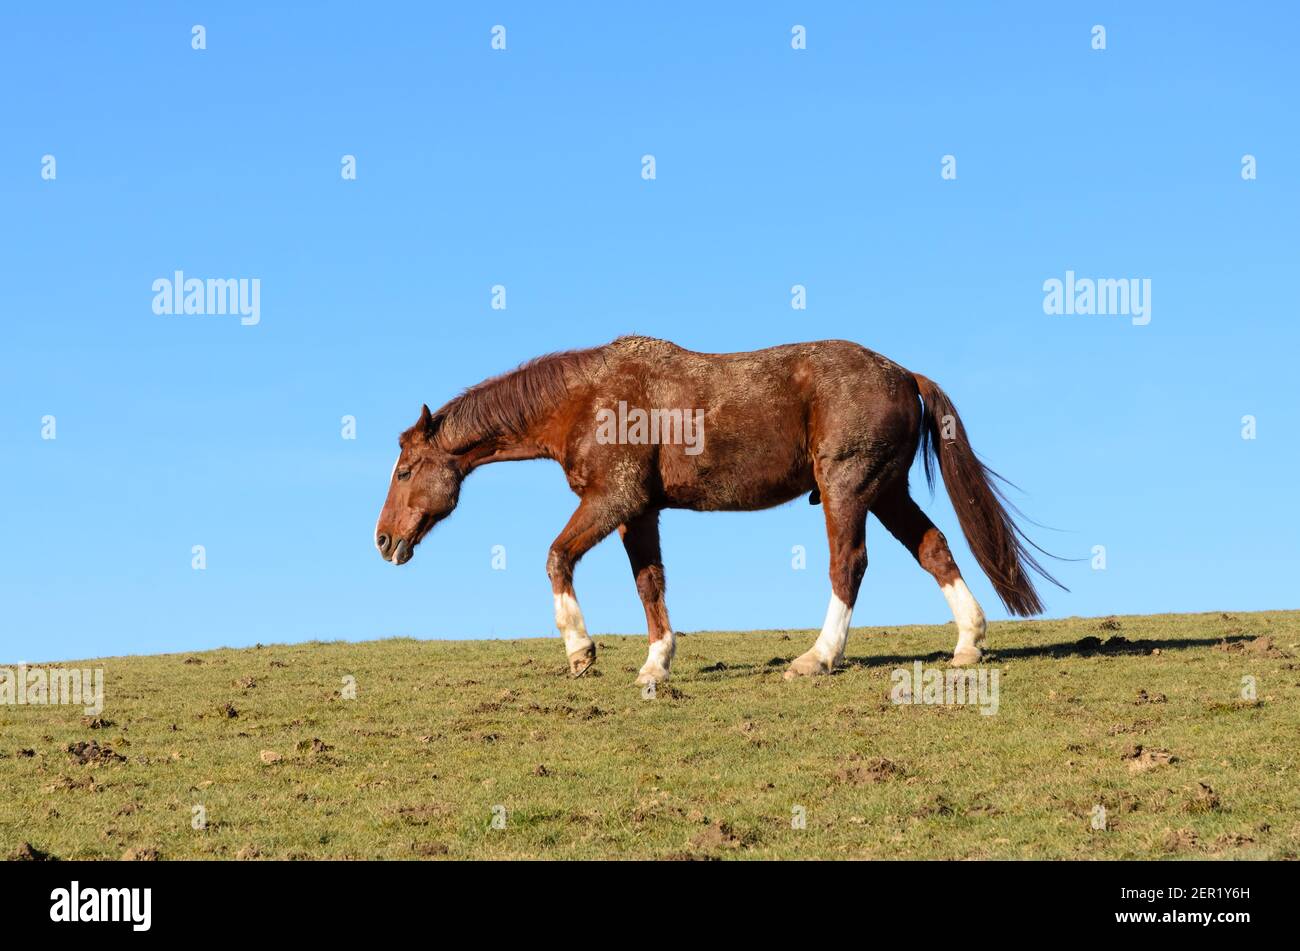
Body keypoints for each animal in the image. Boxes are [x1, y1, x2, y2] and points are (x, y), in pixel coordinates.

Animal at [371, 335, 1060, 685]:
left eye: (405, 471)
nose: (382, 539)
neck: (585, 399)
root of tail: (905, 374)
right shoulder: (639, 512)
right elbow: (650, 584)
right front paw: (656, 662)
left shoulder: (612, 500)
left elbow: (556, 558)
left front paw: (580, 650)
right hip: (887, 492)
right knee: (934, 549)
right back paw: (968, 643)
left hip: (848, 491)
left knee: (849, 565)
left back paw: (819, 657)